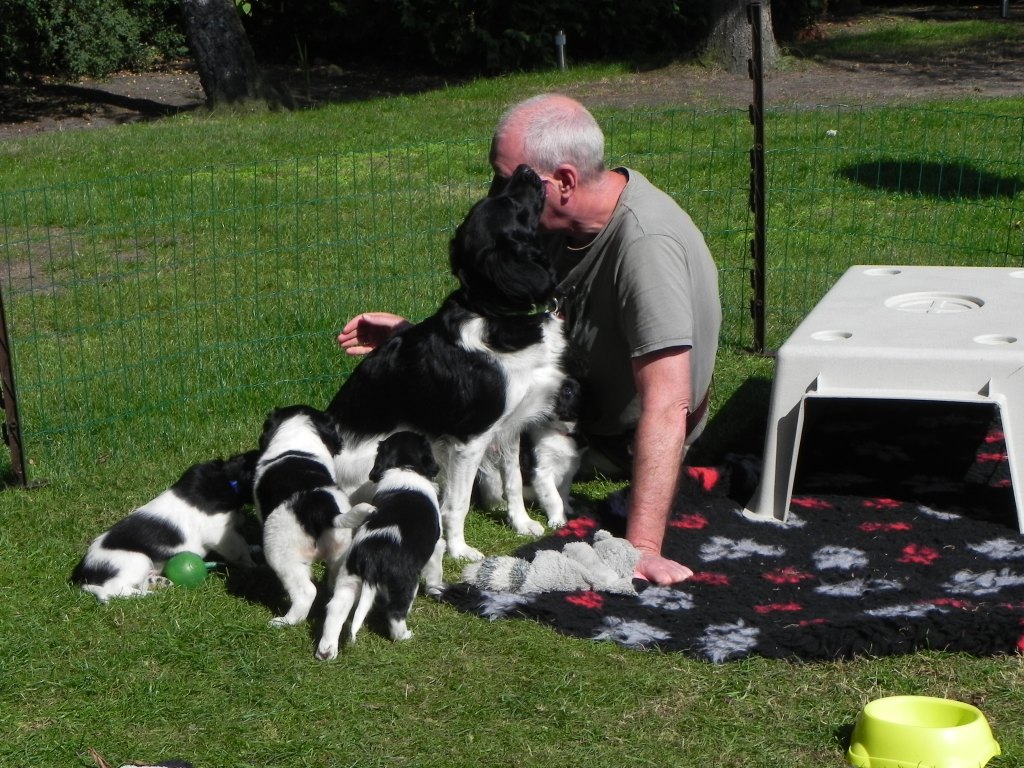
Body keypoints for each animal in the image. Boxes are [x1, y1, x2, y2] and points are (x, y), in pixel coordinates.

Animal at [71, 451, 258, 603]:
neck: (227, 478)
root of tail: (83, 573)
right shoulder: (219, 533)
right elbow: (240, 549)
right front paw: (253, 567)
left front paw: (255, 549)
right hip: (137, 560)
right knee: (115, 589)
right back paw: (147, 595)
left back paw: (158, 582)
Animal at [253, 404, 372, 627]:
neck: (297, 436)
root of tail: (325, 509)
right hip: (340, 548)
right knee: (335, 582)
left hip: (281, 550)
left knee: (306, 592)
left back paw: (284, 621)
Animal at [316, 431, 444, 659]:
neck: (404, 467)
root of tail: (372, 554)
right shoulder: (435, 546)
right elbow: (436, 569)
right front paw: (437, 589)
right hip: (405, 583)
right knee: (395, 614)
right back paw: (405, 636)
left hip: (348, 578)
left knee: (335, 609)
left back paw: (326, 651)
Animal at [327, 164, 567, 561]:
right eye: (510, 205)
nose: (526, 169)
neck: (495, 312)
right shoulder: (470, 438)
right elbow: (459, 502)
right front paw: (459, 549)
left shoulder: (509, 425)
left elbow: (514, 480)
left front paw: (521, 524)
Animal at [476, 375, 583, 528]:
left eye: (568, 390)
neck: (556, 431)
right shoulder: (542, 471)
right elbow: (554, 498)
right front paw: (558, 521)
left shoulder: (569, 470)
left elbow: (563, 493)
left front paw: (567, 509)